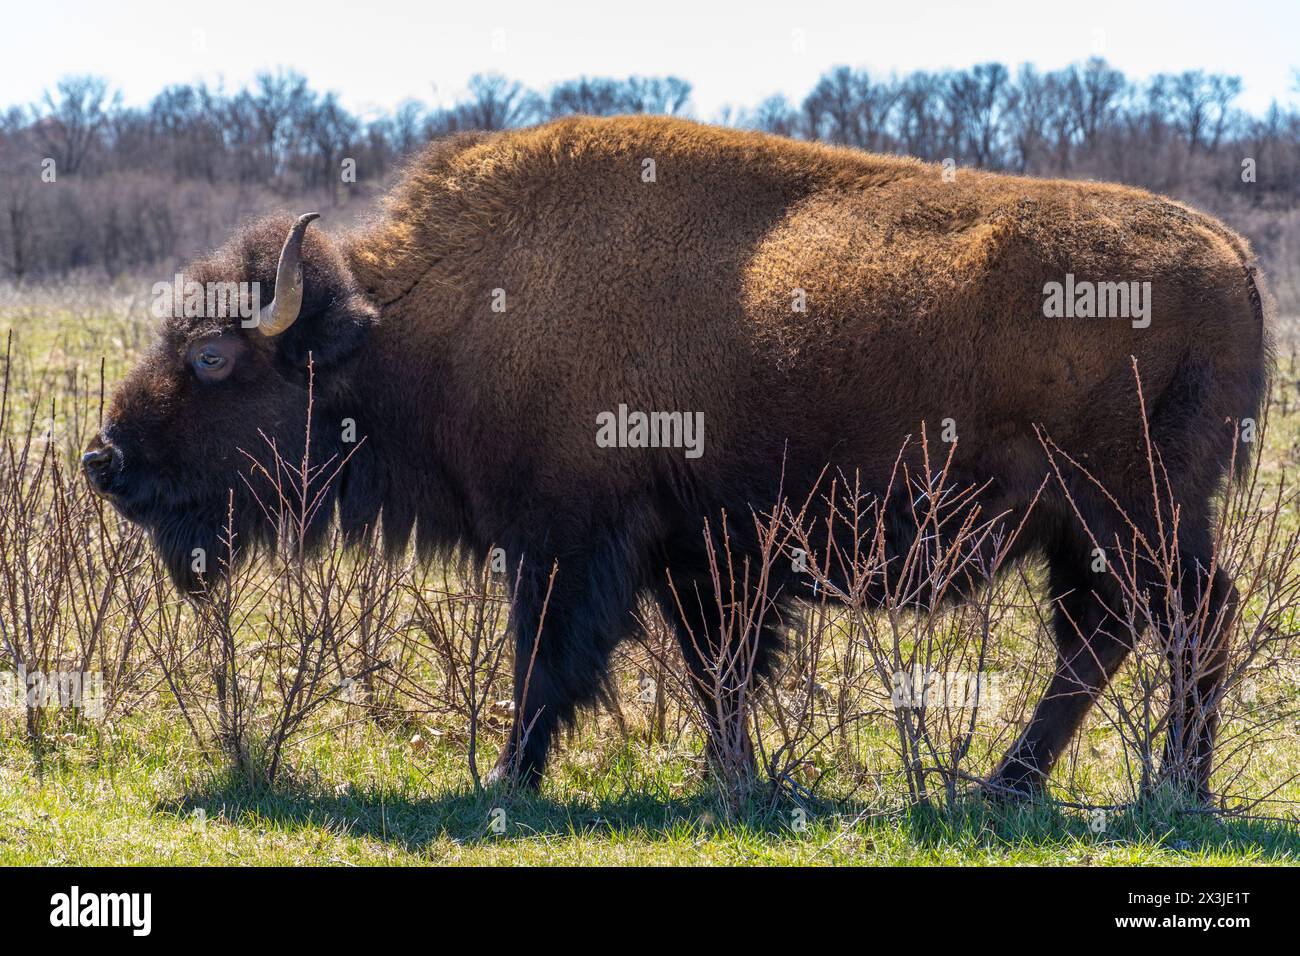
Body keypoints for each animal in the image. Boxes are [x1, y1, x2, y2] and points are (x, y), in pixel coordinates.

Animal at [85, 116, 1270, 798]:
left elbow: (550, 663)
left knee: (1186, 620)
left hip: (1133, 512)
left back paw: (1166, 792)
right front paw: (731, 781)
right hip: (1091, 530)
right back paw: (1008, 787)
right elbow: (719, 671)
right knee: (1109, 635)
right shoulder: (695, 555)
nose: (104, 462)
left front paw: (508, 779)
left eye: (209, 357)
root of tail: (1234, 256)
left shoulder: (569, 546)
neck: (422, 321)